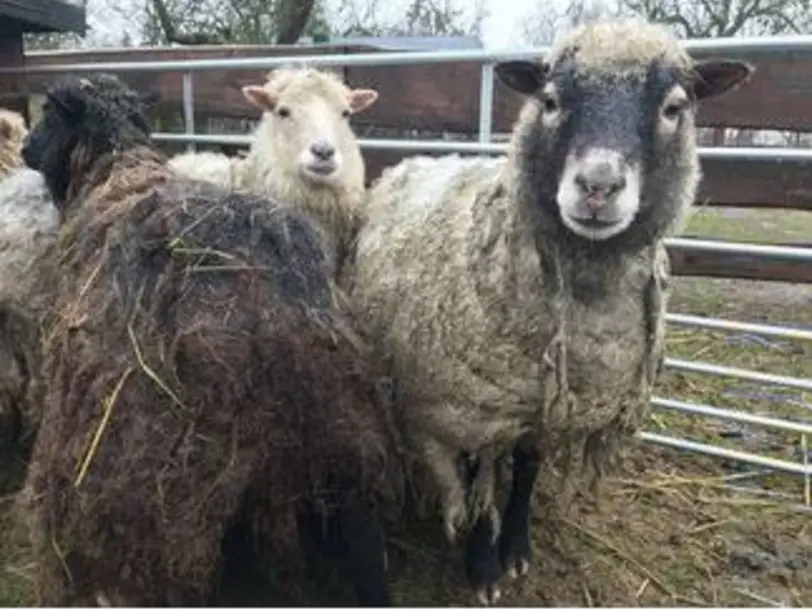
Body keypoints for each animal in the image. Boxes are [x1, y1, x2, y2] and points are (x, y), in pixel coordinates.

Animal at [344, 17, 756, 604]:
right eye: (551, 100)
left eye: (674, 108)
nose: (598, 186)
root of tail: (417, 159)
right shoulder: (475, 405)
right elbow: (482, 478)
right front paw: (483, 565)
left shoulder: (546, 400)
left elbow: (528, 467)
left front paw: (516, 548)